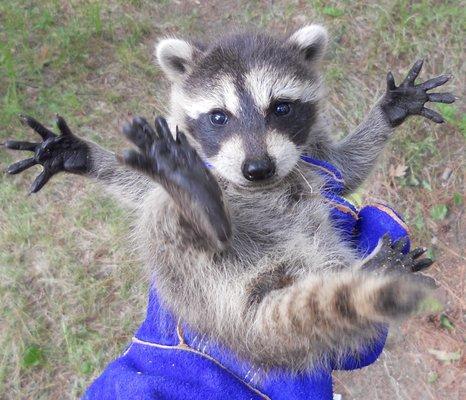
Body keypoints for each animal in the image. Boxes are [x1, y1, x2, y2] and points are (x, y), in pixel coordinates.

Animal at [4, 23, 456, 370]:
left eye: (281, 108)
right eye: (219, 117)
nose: (258, 168)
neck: (262, 186)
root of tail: (234, 324)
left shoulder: (316, 155)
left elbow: (346, 168)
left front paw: (387, 112)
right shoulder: (176, 156)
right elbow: (139, 185)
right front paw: (82, 154)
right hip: (185, 267)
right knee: (161, 216)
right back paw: (200, 208)